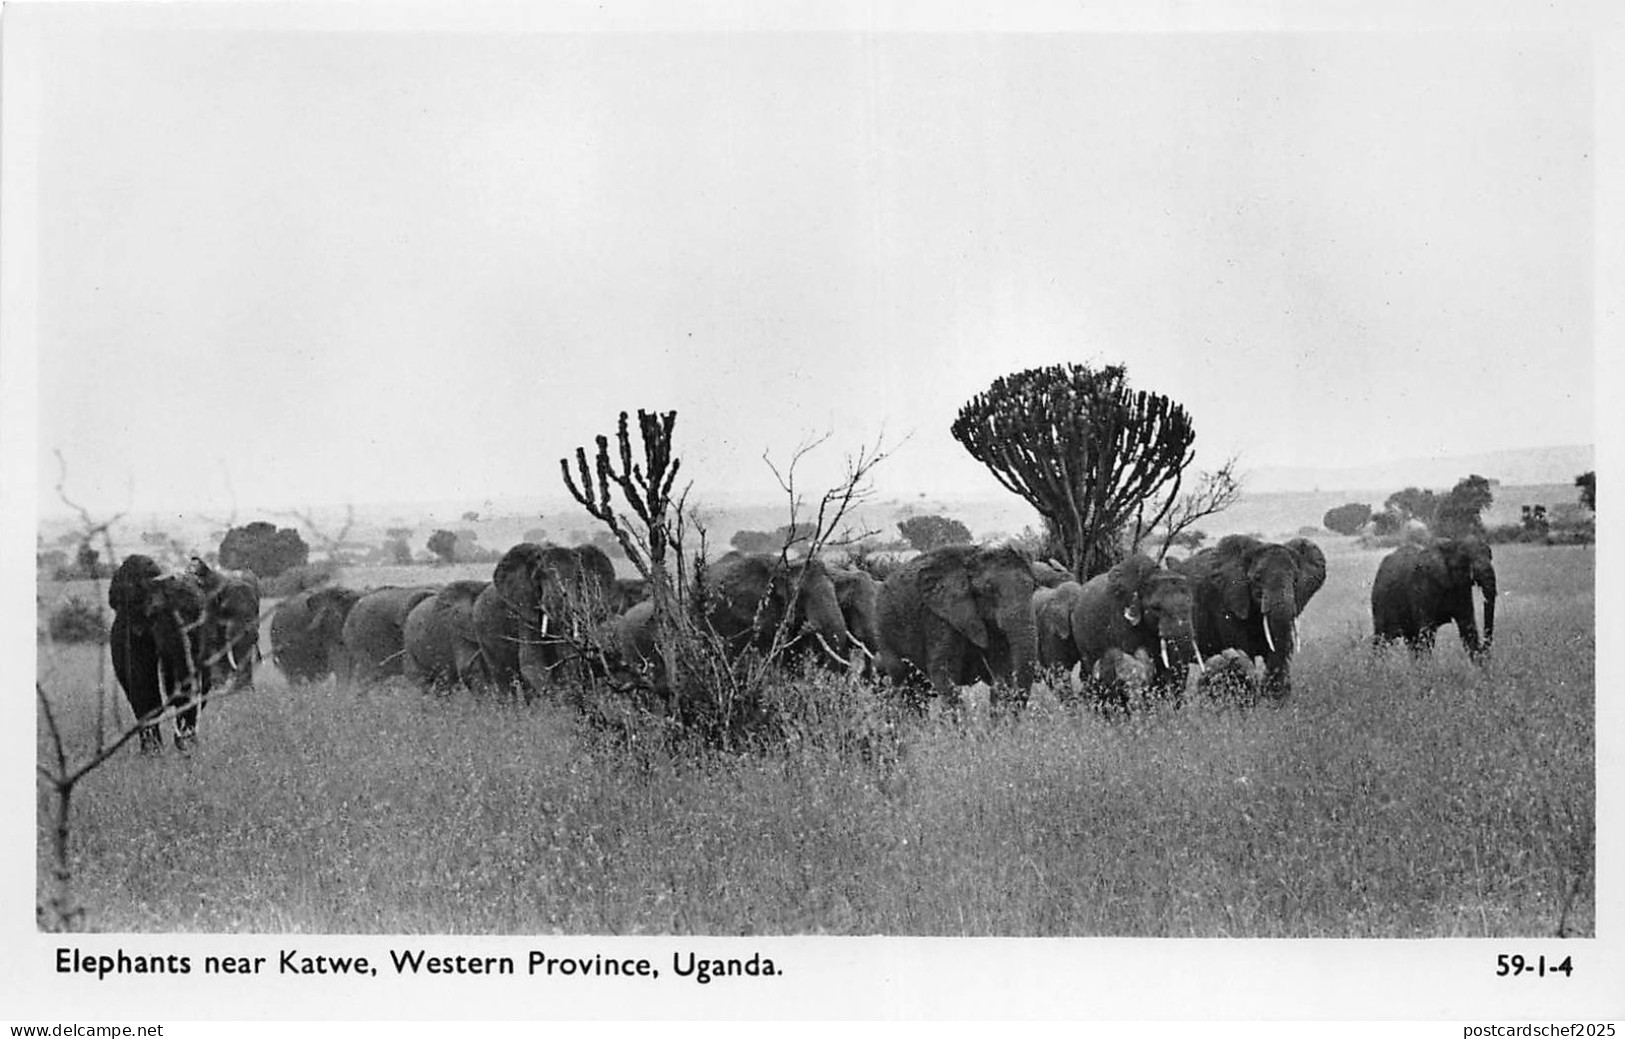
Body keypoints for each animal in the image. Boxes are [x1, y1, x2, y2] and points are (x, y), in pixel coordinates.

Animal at [108, 554, 213, 752]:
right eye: (156, 614)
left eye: (200, 614)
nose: (183, 742)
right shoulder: (130, 632)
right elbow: (144, 688)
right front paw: (153, 752)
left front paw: (186, 747)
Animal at [189, 558, 261, 693]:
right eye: (227, 609)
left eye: (256, 608)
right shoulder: (207, 611)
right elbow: (213, 644)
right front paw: (218, 687)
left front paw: (246, 689)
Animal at [875, 543, 1039, 713]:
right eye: (988, 590)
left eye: (1033, 587)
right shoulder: (940, 616)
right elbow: (944, 671)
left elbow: (1002, 671)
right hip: (883, 629)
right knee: (903, 679)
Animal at [1179, 535, 1328, 702]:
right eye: (1257, 579)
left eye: (1296, 580)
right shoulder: (1224, 602)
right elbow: (1243, 651)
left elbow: (1279, 649)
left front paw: (1274, 701)